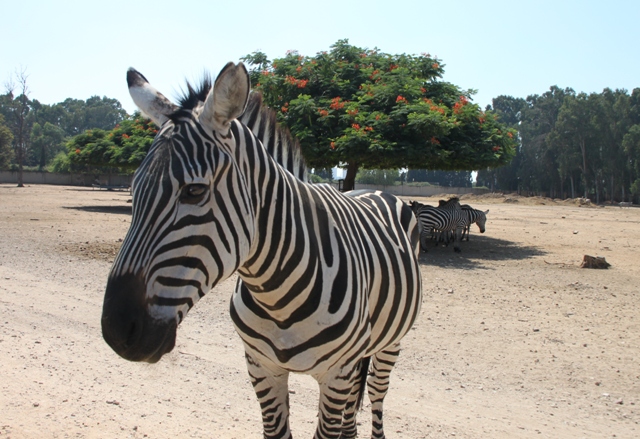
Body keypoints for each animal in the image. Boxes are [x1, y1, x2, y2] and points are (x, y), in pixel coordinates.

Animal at [100, 62, 422, 439]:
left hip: (389, 343)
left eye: (194, 191)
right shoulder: (261, 367)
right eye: (134, 190)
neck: (277, 295)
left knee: (375, 394)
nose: (116, 331)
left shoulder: (335, 374)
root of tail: (371, 190)